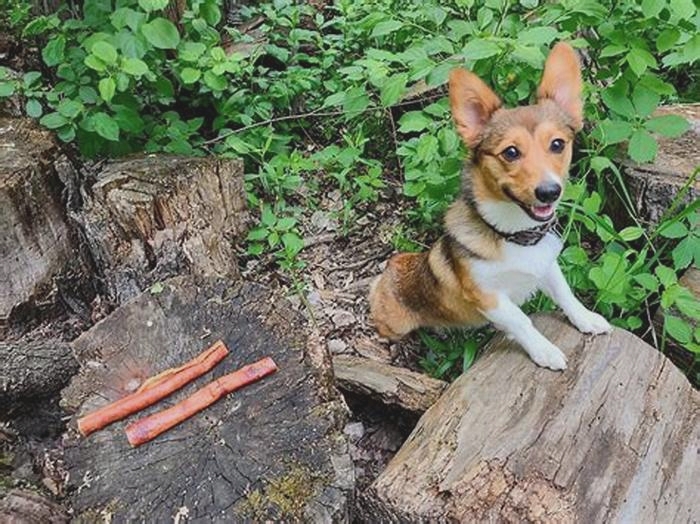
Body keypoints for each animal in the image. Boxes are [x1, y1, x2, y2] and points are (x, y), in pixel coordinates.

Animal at [370, 43, 608, 370]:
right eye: (510, 152)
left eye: (558, 144)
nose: (549, 192)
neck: (514, 236)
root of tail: (388, 271)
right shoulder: (488, 297)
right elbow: (521, 321)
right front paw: (544, 351)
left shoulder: (548, 267)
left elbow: (565, 294)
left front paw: (586, 319)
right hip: (394, 322)